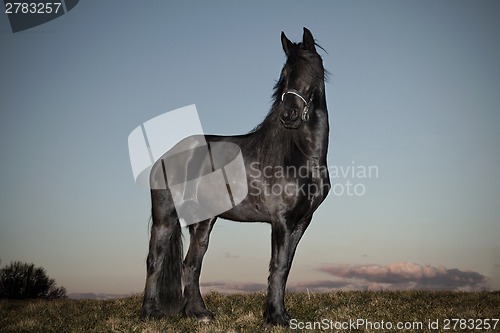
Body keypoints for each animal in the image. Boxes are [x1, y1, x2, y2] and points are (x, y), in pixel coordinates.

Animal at [141, 27, 330, 326]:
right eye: (285, 74)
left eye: (311, 69)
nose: (288, 115)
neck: (300, 156)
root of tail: (165, 156)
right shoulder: (282, 220)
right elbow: (277, 266)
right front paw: (275, 317)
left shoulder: (302, 221)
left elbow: (286, 266)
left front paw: (281, 314)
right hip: (165, 217)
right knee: (155, 260)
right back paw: (150, 314)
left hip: (204, 221)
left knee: (191, 263)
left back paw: (199, 313)